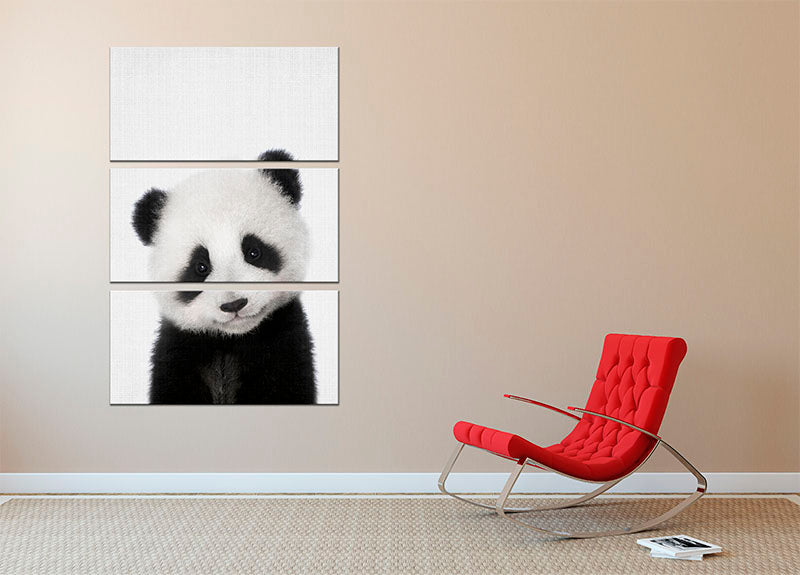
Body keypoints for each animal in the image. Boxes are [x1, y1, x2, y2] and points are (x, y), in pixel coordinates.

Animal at [131, 149, 316, 405]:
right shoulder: (178, 352)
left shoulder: (284, 344)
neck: (231, 340)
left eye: (253, 252)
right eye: (201, 266)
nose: (234, 304)